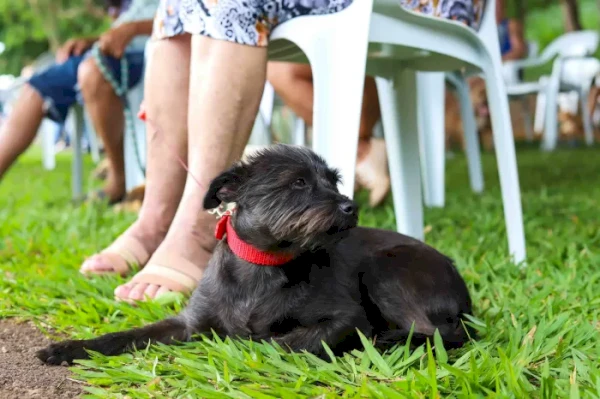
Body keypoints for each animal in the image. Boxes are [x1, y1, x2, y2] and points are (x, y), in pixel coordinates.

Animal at [36, 145, 474, 366]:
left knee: (437, 333)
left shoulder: (348, 316)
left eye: (333, 181)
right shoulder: (186, 323)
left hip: (384, 270)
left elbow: (286, 342)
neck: (264, 264)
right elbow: (128, 335)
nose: (351, 207)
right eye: (298, 183)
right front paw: (69, 348)